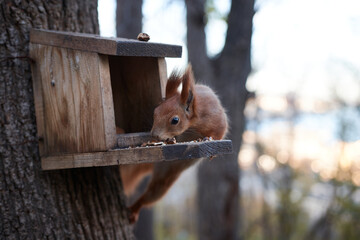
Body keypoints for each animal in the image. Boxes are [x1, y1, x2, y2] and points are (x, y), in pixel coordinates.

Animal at [121, 64, 228, 223]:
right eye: (155, 112)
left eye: (175, 120)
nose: (154, 135)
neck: (193, 126)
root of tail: (155, 165)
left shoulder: (218, 120)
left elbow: (219, 133)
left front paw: (209, 140)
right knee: (149, 196)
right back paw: (134, 208)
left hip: (168, 175)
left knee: (152, 195)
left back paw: (134, 209)